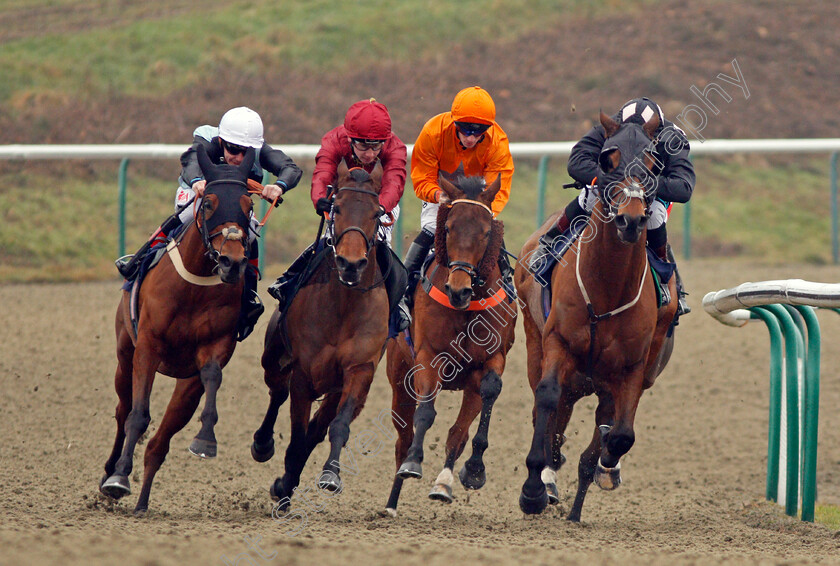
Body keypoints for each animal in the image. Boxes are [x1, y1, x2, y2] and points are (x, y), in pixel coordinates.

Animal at [99, 145, 258, 516]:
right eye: (209, 202)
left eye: (249, 206)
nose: (232, 262)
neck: (194, 286)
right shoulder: (147, 347)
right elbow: (137, 415)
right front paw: (118, 478)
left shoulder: (214, 347)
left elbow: (212, 374)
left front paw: (206, 440)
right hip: (124, 355)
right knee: (123, 411)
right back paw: (110, 474)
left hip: (186, 385)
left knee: (160, 442)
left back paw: (142, 503)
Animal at [253, 161, 390, 510]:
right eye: (336, 207)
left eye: (376, 213)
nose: (351, 263)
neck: (344, 304)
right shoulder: (304, 373)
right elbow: (296, 432)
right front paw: (284, 488)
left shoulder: (358, 371)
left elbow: (334, 427)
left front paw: (329, 475)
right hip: (273, 357)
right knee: (277, 391)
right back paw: (263, 444)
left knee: (318, 427)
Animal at [384, 171, 516, 516]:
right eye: (448, 228)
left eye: (486, 232)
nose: (458, 289)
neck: (465, 310)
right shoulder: (428, 357)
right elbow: (425, 414)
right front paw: (414, 464)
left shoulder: (491, 359)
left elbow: (486, 396)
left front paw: (472, 471)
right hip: (399, 379)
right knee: (403, 438)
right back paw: (392, 500)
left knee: (458, 432)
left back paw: (444, 482)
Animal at [516, 112, 680, 524]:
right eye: (608, 160)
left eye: (653, 164)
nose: (630, 220)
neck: (607, 288)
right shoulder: (558, 344)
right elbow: (547, 400)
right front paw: (533, 489)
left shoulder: (632, 369)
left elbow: (620, 434)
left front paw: (605, 466)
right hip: (534, 342)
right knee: (549, 407)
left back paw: (580, 499)